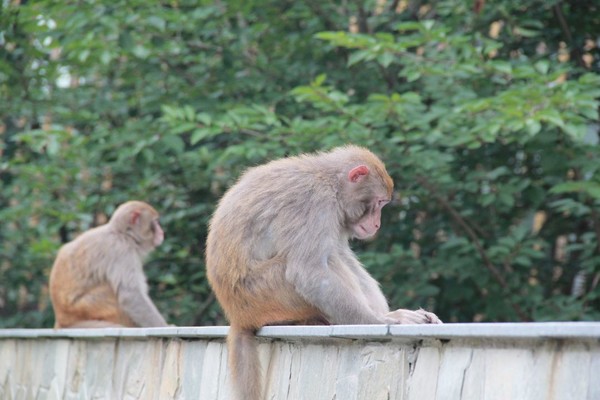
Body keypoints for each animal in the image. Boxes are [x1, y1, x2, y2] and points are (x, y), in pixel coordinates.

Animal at [49, 200, 169, 328]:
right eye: (156, 222)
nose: (162, 232)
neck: (122, 234)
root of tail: (61, 319)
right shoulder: (121, 251)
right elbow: (130, 294)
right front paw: (164, 326)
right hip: (85, 307)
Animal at [205, 145, 440, 400]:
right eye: (379, 203)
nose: (377, 224)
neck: (330, 181)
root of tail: (238, 315)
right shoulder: (314, 202)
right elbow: (309, 272)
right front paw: (382, 320)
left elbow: (340, 252)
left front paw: (392, 314)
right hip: (266, 293)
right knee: (325, 262)